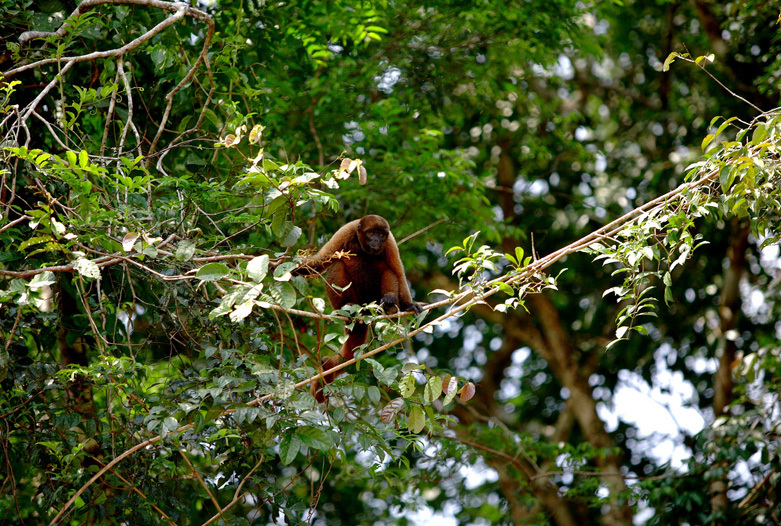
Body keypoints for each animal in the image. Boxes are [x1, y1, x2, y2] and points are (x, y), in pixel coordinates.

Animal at [294, 216, 420, 404]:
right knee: (338, 264)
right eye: (372, 233)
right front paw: (290, 270)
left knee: (388, 270)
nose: (377, 241)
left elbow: (397, 272)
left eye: (381, 235)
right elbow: (321, 260)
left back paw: (390, 303)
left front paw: (407, 305)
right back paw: (347, 310)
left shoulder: (389, 242)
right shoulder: (346, 231)